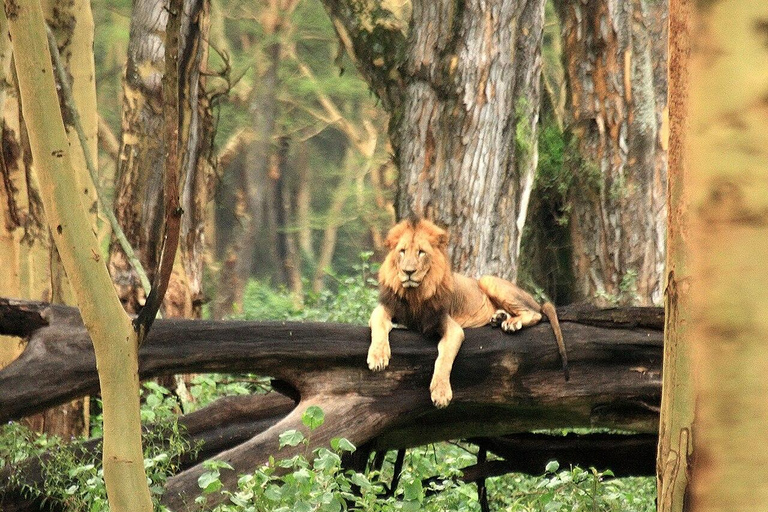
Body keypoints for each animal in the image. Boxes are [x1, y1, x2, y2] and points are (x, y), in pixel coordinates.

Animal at [368, 218, 568, 408]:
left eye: (421, 252)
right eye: (402, 251)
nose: (408, 271)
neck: (415, 294)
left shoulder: (451, 326)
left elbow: (444, 359)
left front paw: (441, 393)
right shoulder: (387, 308)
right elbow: (377, 323)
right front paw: (377, 357)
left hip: (488, 280)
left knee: (536, 314)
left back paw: (511, 322)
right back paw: (499, 317)